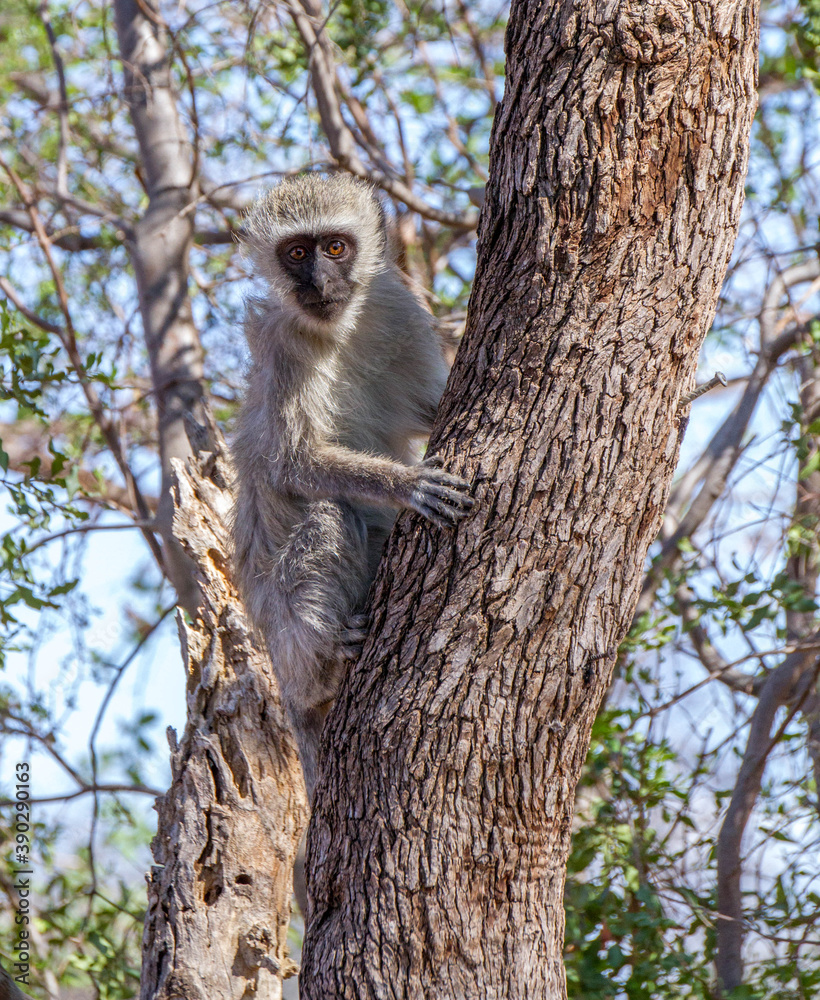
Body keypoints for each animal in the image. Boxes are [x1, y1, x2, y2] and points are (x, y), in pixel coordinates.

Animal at [230, 173, 474, 799]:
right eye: (296, 253)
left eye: (335, 247)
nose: (319, 281)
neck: (336, 330)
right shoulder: (282, 346)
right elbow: (293, 462)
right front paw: (407, 483)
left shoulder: (395, 306)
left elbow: (431, 406)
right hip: (281, 628)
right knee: (328, 515)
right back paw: (326, 659)